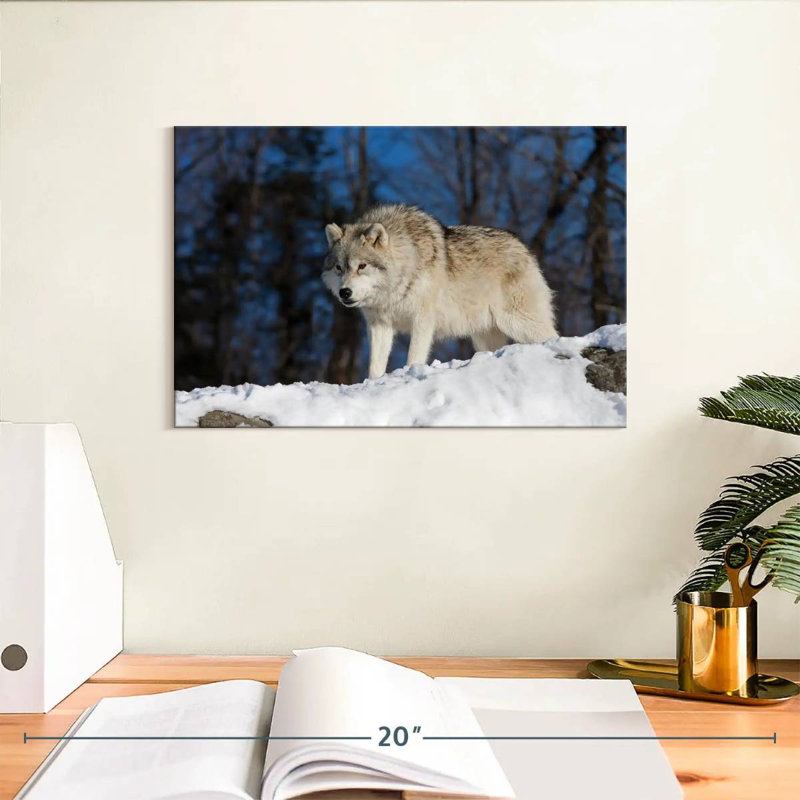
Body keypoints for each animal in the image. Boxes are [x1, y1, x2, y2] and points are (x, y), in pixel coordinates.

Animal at [322, 204, 557, 380]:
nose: (344, 292)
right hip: (484, 336)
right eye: (339, 268)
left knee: (553, 335)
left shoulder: (423, 320)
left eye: (361, 266)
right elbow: (375, 367)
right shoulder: (379, 325)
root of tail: (522, 246)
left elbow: (414, 357)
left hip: (519, 323)